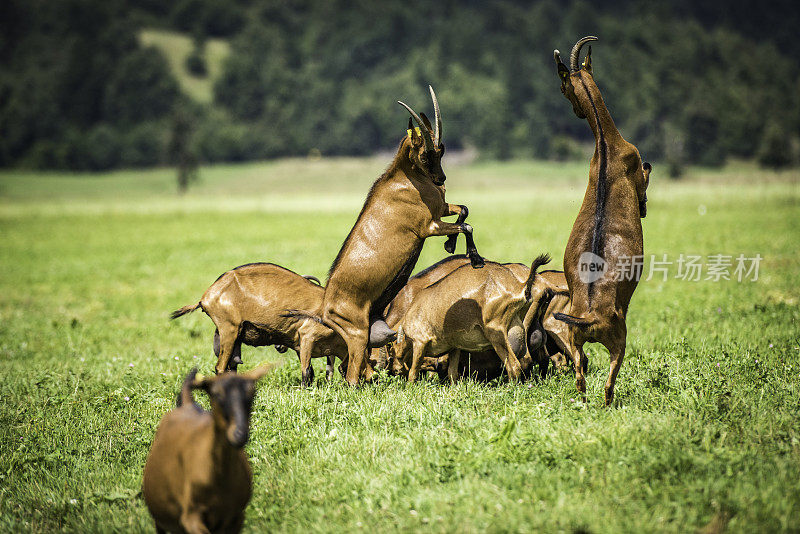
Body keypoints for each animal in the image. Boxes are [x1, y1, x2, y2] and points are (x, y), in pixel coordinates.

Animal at [145, 366, 276, 534]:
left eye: (252, 393)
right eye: (217, 394)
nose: (239, 434)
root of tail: (187, 405)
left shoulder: (237, 517)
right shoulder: (191, 516)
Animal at [170, 262, 346, 384]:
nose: (278, 347)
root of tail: (206, 297)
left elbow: (319, 371)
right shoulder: (306, 338)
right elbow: (307, 372)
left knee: (231, 367)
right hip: (229, 330)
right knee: (220, 367)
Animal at [392, 256, 552, 386]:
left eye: (390, 348)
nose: (395, 370)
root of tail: (520, 287)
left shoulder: (420, 342)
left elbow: (413, 372)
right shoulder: (454, 347)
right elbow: (452, 373)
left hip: (497, 334)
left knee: (514, 365)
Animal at [552, 36, 652, 406]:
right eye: (564, 87)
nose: (577, 111)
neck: (608, 146)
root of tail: (591, 316)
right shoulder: (637, 167)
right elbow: (646, 177)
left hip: (574, 339)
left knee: (580, 375)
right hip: (618, 339)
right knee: (609, 383)